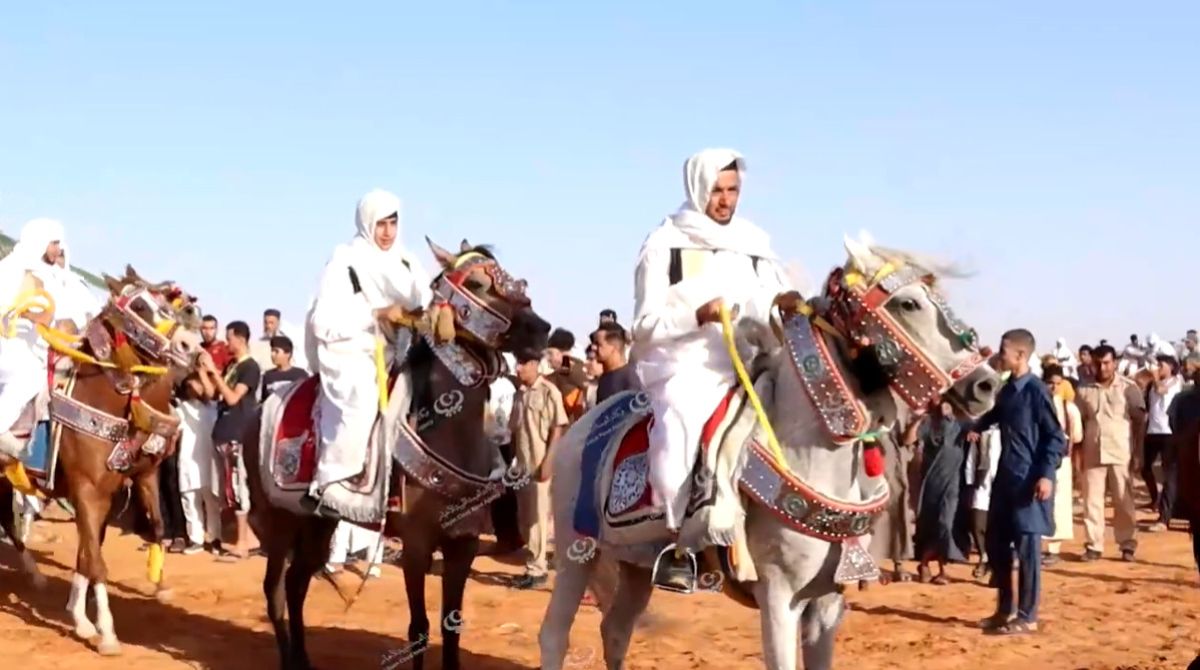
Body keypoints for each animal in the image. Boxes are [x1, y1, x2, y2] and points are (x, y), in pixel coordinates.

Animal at [0, 267, 201, 657]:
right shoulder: (88, 492)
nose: (190, 345)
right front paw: (106, 632)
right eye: (140, 306)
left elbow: (98, 549)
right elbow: (95, 560)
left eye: (166, 304)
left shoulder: (123, 486)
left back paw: (35, 574)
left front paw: (80, 619)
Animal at [247, 241, 552, 670]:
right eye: (478, 283)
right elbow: (419, 629)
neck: (448, 432)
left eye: (515, 280)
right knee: (274, 590)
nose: (542, 329)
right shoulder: (416, 545)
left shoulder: (463, 543)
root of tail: (259, 410)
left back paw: (304, 661)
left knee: (295, 584)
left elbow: (451, 625)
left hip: (317, 523)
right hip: (281, 522)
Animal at [540, 236, 998, 670]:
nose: (986, 384)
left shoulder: (827, 601)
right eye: (908, 303)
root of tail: (581, 426)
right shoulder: (779, 596)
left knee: (616, 630)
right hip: (577, 551)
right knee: (555, 634)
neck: (814, 458)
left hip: (635, 563)